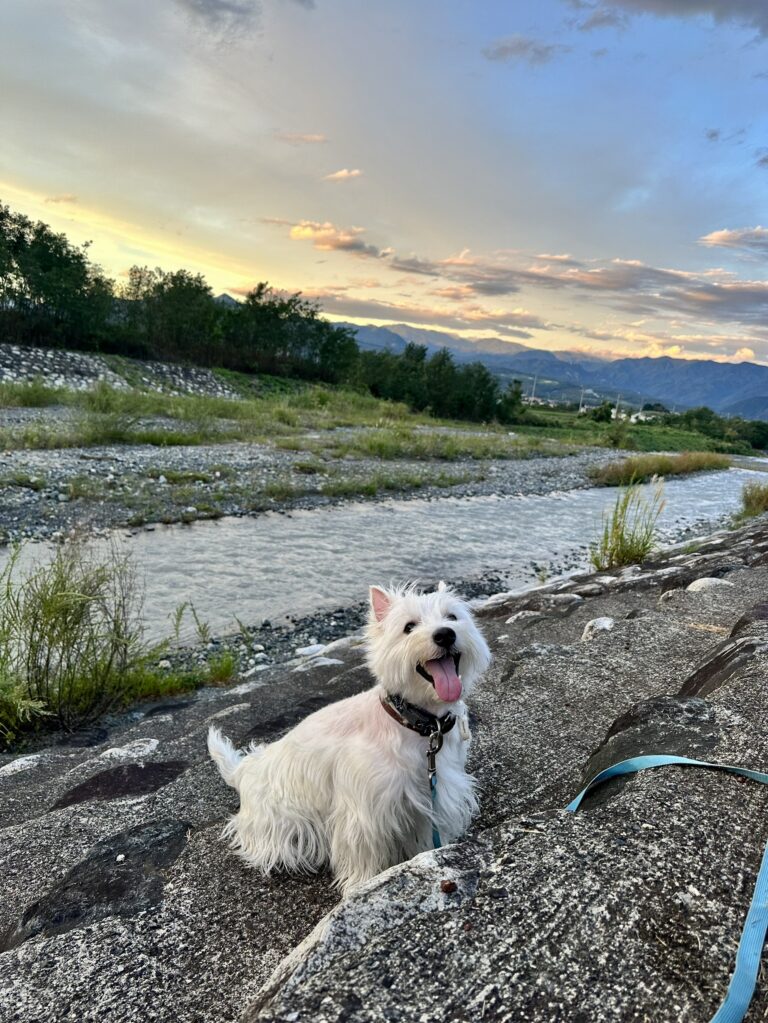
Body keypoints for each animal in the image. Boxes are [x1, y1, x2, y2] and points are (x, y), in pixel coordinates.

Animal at [207, 582, 491, 894]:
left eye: (452, 617)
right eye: (409, 627)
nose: (445, 634)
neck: (420, 724)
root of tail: (242, 772)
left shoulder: (434, 796)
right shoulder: (365, 813)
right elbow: (363, 857)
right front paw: (361, 886)